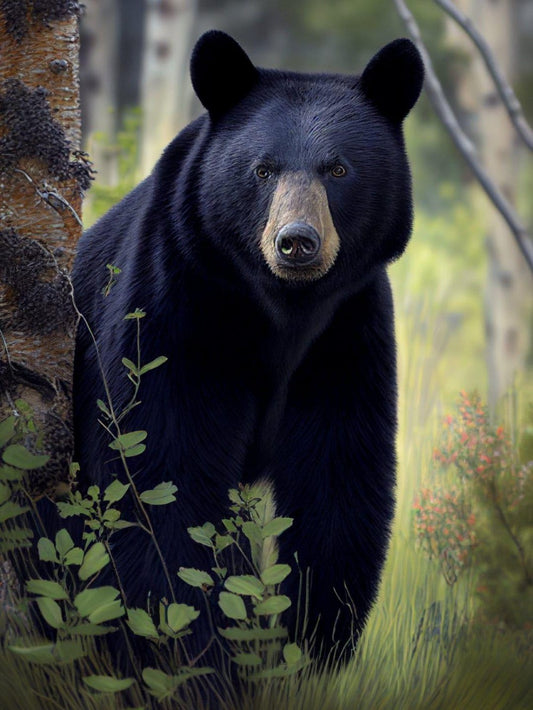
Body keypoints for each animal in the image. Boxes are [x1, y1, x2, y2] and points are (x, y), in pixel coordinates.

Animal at [69, 30, 424, 662]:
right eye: (263, 169)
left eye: (339, 168)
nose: (296, 241)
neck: (281, 313)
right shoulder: (173, 310)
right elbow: (162, 473)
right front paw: (197, 653)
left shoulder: (347, 336)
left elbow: (339, 483)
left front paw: (309, 647)